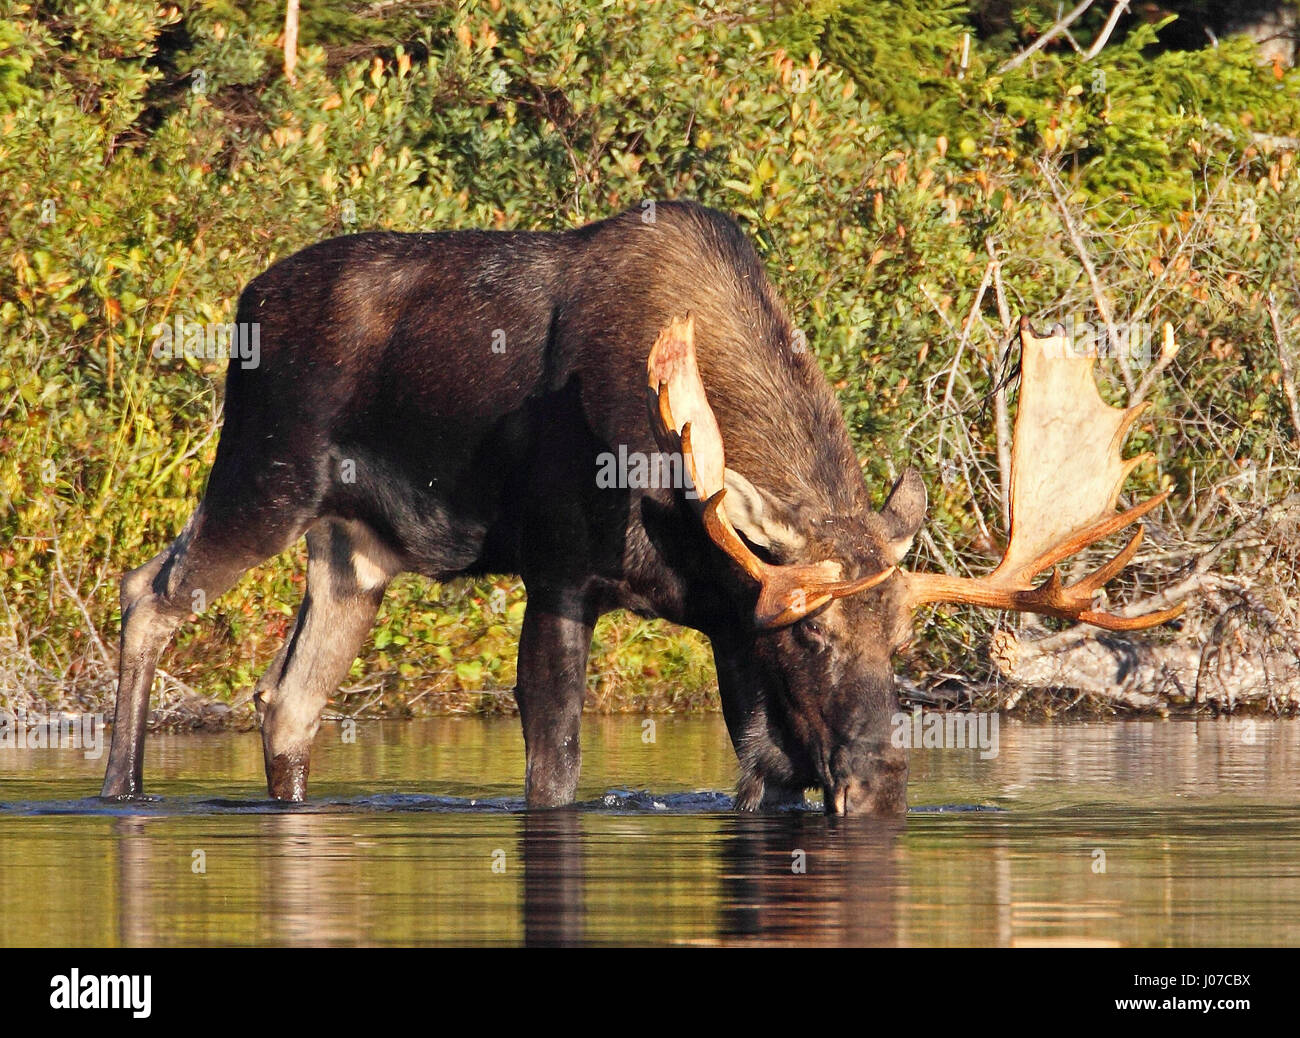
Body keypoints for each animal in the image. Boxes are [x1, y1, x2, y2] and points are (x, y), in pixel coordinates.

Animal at [98, 201, 1180, 811]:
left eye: (901, 644)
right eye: (812, 634)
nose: (878, 777)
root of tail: (245, 298)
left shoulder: (729, 616)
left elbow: (763, 770)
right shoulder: (560, 572)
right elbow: (555, 770)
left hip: (357, 550)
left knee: (288, 700)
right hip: (264, 475)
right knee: (149, 590)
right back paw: (122, 791)